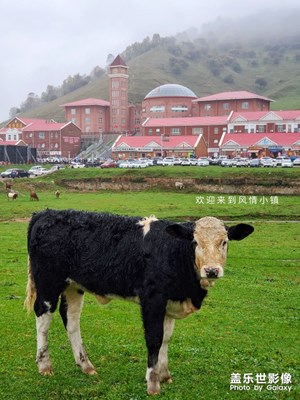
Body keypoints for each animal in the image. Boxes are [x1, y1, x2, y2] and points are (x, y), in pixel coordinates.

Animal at [25, 209, 253, 394]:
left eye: (224, 242)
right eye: (195, 242)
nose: (212, 270)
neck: (172, 251)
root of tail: (46, 213)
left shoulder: (170, 301)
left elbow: (166, 338)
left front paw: (164, 374)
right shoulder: (152, 299)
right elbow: (154, 339)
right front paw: (153, 383)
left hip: (73, 286)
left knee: (71, 321)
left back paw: (85, 365)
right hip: (48, 282)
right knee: (43, 318)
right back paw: (44, 365)